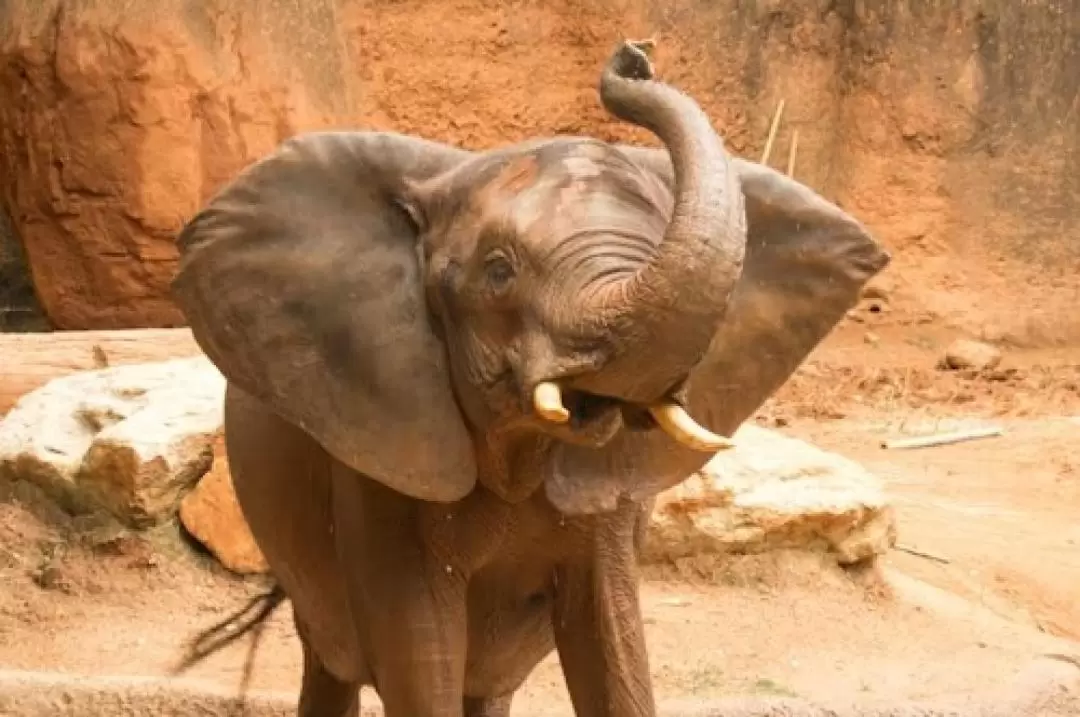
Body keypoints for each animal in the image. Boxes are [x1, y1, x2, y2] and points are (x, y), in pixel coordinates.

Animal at [172, 39, 889, 717]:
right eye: (498, 271)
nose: (635, 54)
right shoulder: (379, 443)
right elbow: (420, 652)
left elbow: (612, 638)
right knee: (335, 657)